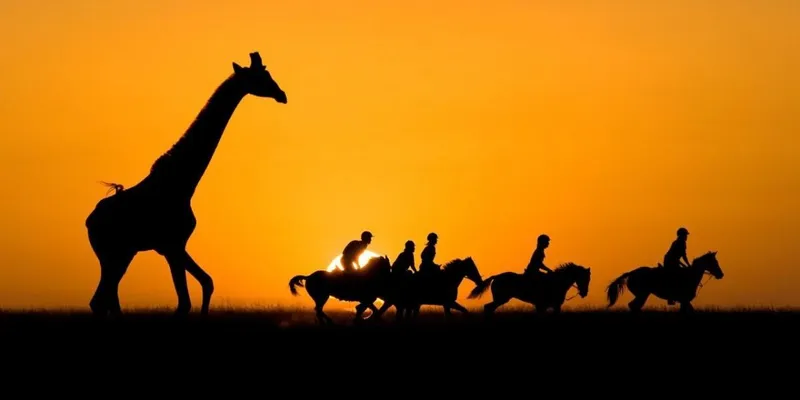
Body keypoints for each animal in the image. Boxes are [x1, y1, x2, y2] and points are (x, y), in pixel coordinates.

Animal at [85, 51, 287, 317]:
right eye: (261, 76)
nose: (282, 95)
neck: (182, 183)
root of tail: (89, 221)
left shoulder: (175, 246)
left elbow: (206, 283)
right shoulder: (172, 245)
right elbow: (184, 303)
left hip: (121, 254)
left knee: (106, 299)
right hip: (113, 254)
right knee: (100, 300)